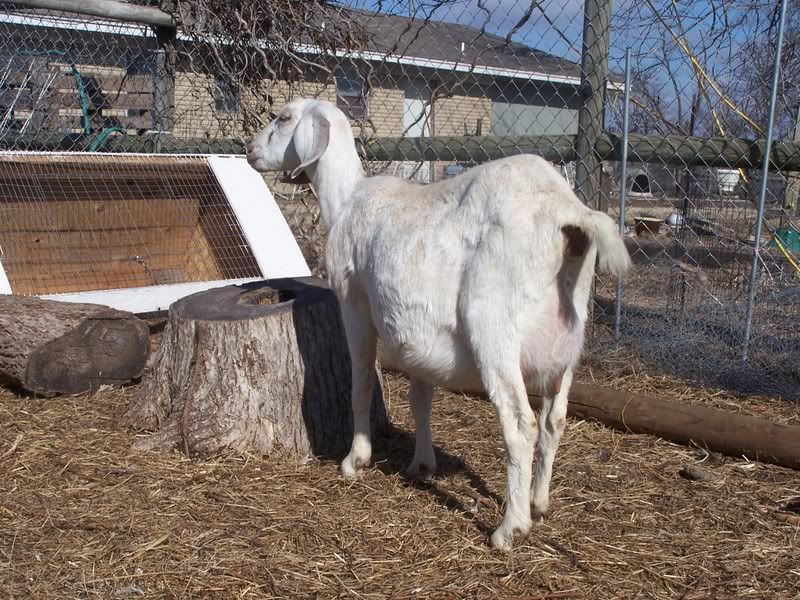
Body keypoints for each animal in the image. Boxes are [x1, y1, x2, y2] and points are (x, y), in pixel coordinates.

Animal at [246, 98, 631, 550]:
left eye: (284, 117)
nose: (250, 150)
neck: (346, 200)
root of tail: (568, 212)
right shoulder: (416, 330)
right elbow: (420, 397)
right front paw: (421, 463)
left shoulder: (353, 300)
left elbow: (360, 382)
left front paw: (355, 459)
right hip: (569, 338)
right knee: (555, 420)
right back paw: (539, 502)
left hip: (492, 323)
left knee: (522, 423)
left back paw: (510, 527)